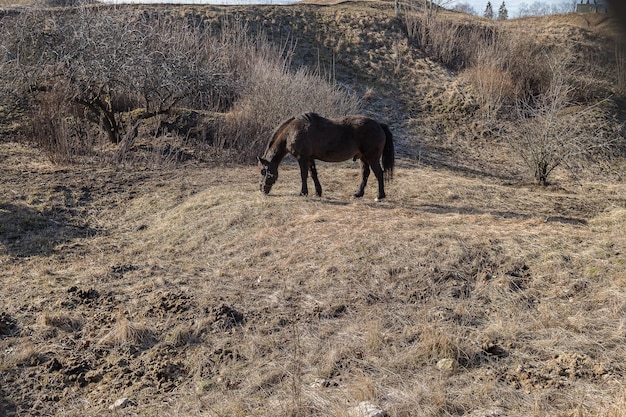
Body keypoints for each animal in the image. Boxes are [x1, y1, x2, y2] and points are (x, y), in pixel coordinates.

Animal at [256, 112, 392, 200]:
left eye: (263, 171)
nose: (262, 189)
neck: (292, 131)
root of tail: (379, 124)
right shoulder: (310, 158)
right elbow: (313, 174)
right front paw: (318, 192)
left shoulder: (302, 158)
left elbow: (303, 175)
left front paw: (303, 192)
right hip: (363, 158)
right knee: (365, 174)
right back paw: (358, 194)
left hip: (372, 158)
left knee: (379, 173)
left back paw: (379, 196)